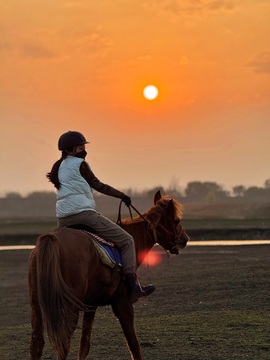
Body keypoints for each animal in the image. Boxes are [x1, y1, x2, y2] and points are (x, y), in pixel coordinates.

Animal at [28, 190, 189, 358]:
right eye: (176, 220)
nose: (185, 239)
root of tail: (51, 239)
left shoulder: (91, 305)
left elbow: (84, 346)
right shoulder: (123, 302)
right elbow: (134, 344)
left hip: (37, 304)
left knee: (37, 343)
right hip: (70, 306)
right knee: (63, 343)